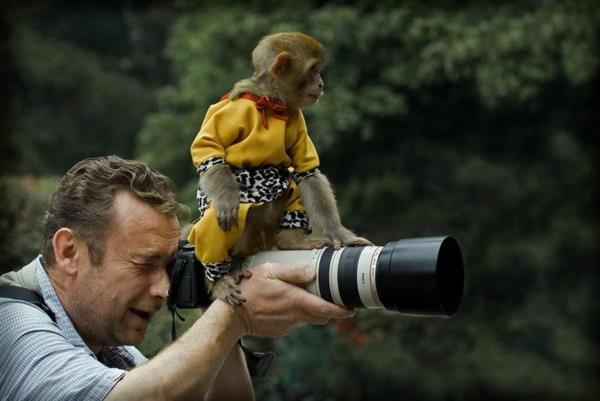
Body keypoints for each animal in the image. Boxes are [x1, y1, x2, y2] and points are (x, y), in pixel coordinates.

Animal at [188, 32, 372, 306]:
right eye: (313, 70)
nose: (321, 83)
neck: (272, 102)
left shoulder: (296, 117)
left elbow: (308, 173)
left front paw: (340, 234)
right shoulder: (233, 109)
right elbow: (210, 152)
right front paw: (227, 198)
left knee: (291, 183)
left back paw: (291, 240)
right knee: (215, 222)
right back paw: (218, 278)